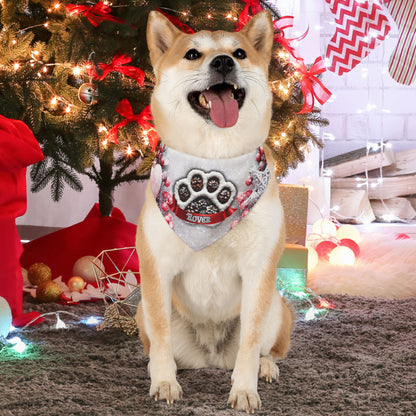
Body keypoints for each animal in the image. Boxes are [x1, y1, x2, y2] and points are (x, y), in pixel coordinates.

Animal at [136, 9, 292, 412]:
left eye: (239, 53)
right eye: (192, 54)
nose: (222, 62)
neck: (212, 162)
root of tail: (211, 356)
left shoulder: (258, 270)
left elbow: (251, 342)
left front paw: (245, 389)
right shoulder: (157, 268)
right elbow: (161, 338)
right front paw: (164, 382)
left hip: (276, 306)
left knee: (268, 348)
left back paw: (266, 367)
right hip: (143, 308)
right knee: (160, 344)